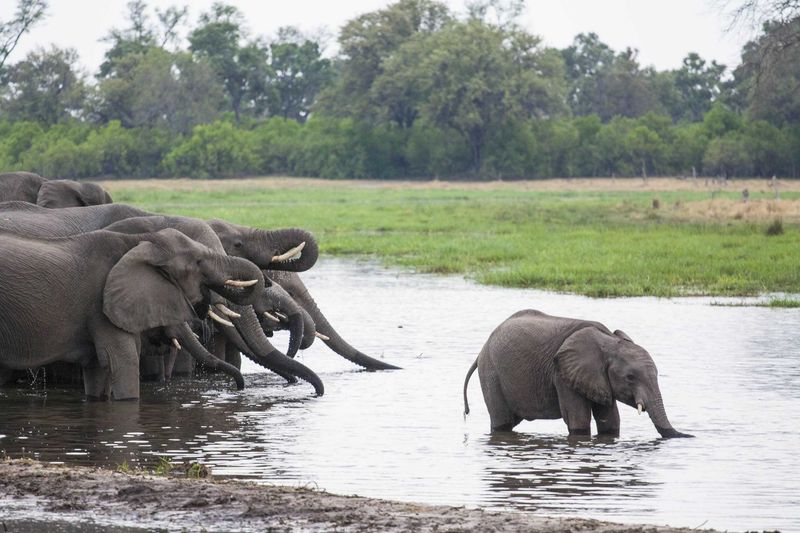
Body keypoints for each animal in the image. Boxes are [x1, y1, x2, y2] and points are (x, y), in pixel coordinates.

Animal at [0, 228, 264, 400]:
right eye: (198, 262)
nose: (237, 388)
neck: (140, 241)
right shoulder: (103, 307)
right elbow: (124, 361)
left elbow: (97, 372)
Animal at [463, 310, 692, 439]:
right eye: (630, 377)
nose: (689, 435)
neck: (608, 342)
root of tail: (482, 350)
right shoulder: (562, 373)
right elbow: (578, 419)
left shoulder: (598, 378)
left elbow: (610, 419)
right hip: (491, 373)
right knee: (501, 422)